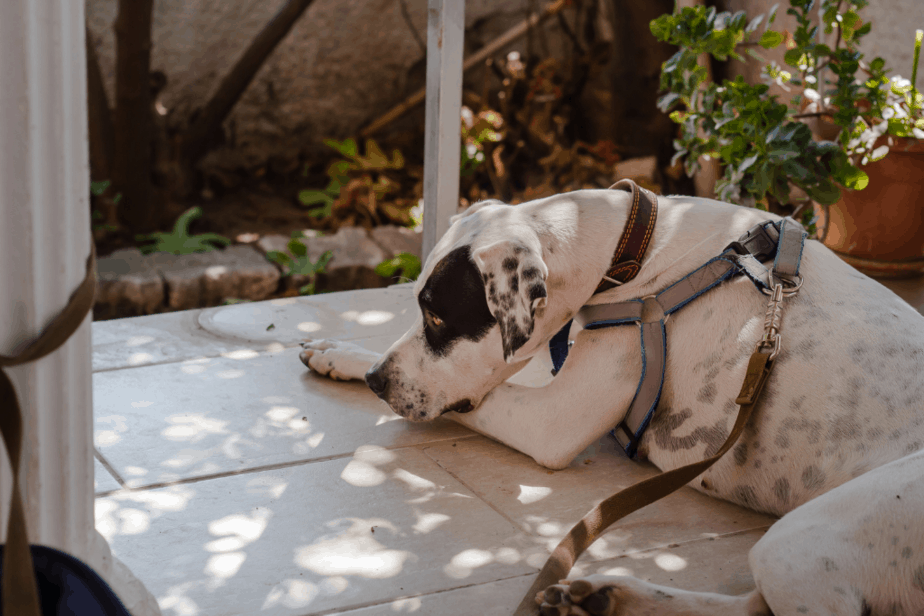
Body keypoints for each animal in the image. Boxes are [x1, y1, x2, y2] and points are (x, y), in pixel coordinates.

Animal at [298, 188, 924, 616]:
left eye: (438, 317)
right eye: (416, 304)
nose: (377, 382)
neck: (629, 253)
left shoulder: (553, 419)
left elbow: (480, 402)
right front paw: (340, 353)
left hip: (807, 539)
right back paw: (606, 593)